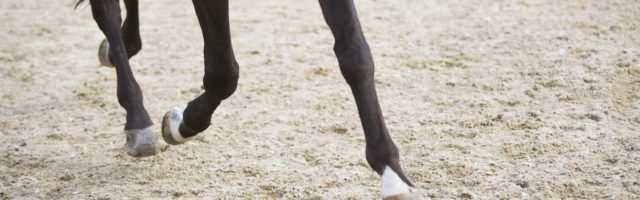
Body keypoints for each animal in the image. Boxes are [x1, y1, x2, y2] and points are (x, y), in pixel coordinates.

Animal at [80, 0, 418, 198]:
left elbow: (355, 55)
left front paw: (392, 174)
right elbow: (223, 72)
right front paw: (180, 124)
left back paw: (123, 45)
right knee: (106, 11)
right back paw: (137, 121)